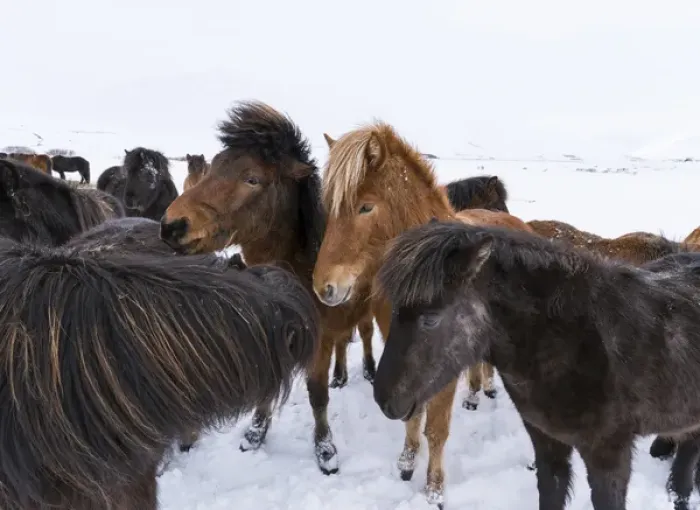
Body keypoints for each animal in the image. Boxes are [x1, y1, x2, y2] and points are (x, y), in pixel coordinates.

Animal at [159, 100, 375, 474]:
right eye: (214, 166)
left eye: (252, 179)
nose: (173, 225)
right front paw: (255, 433)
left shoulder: (318, 338)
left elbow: (317, 393)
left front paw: (325, 449)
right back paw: (341, 375)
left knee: (363, 335)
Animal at [314, 122, 534, 508]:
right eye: (329, 207)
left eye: (365, 207)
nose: (323, 286)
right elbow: (413, 414)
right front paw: (406, 461)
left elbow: (437, 427)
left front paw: (434, 489)